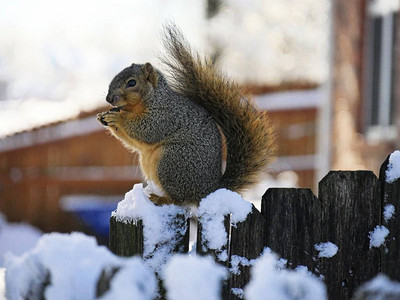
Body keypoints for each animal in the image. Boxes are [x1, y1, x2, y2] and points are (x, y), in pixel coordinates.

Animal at [98, 25, 276, 206]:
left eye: (132, 82)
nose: (109, 99)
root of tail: (208, 190)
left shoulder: (166, 115)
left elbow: (148, 130)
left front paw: (118, 118)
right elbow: (135, 143)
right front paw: (102, 117)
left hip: (172, 161)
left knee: (179, 199)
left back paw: (160, 198)